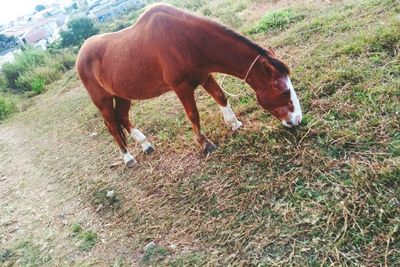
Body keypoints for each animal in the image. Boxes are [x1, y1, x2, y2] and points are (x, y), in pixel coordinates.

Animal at [75, 3, 302, 168]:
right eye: (285, 91)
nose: (297, 121)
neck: (186, 40)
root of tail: (81, 54)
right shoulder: (181, 87)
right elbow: (193, 114)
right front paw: (205, 144)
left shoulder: (204, 75)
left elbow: (221, 96)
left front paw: (234, 123)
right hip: (103, 101)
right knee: (112, 126)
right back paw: (128, 157)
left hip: (122, 94)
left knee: (122, 117)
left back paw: (146, 145)